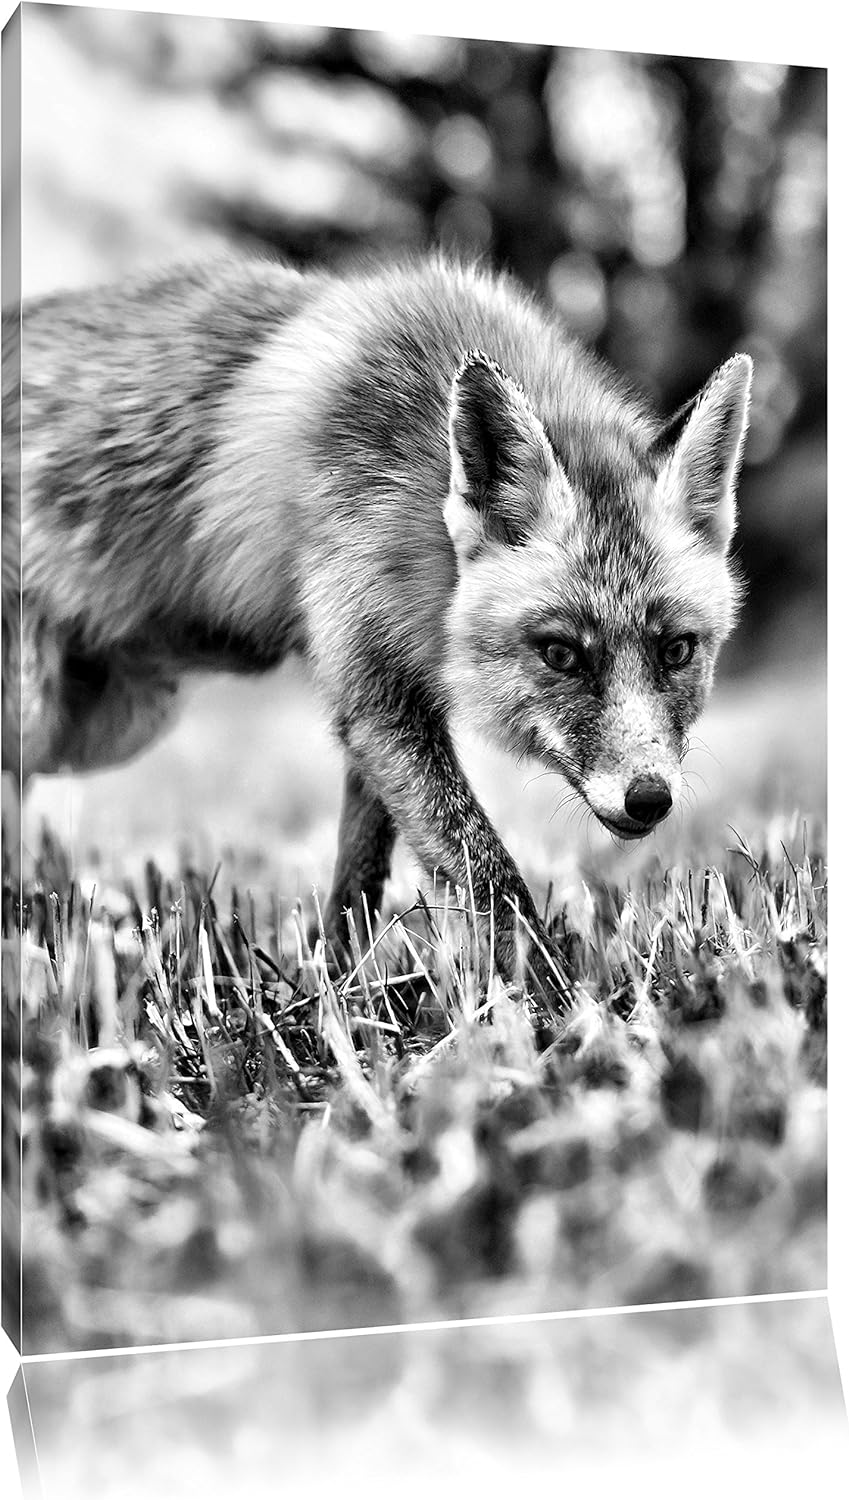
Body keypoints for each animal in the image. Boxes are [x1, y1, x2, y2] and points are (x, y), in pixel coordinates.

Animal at [2, 253, 752, 999]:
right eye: (561, 654)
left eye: (677, 650)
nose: (649, 799)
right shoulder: (375, 695)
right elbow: (487, 872)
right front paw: (553, 1001)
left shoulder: (380, 700)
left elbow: (359, 875)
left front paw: (334, 984)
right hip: (46, 715)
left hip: (119, 718)